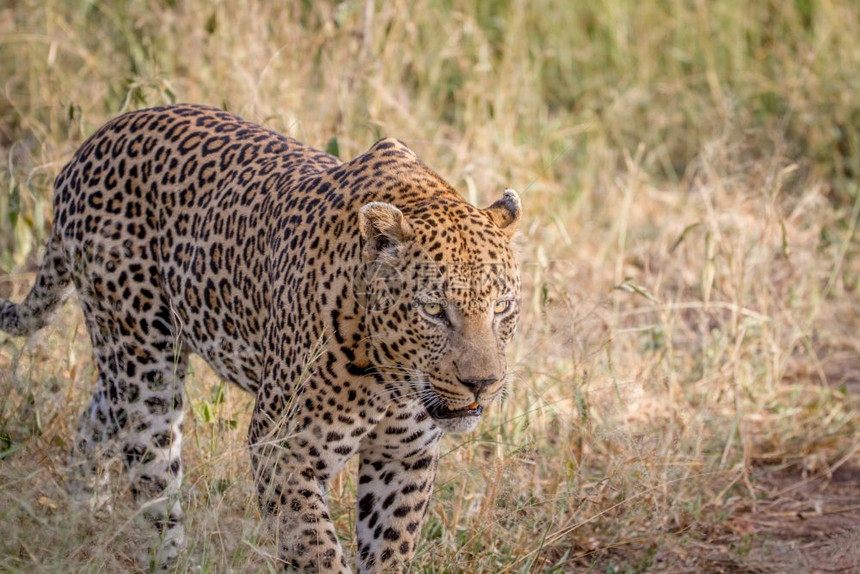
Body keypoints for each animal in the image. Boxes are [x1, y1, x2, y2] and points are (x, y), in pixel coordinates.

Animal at [0, 104, 520, 574]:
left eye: (502, 307)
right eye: (433, 310)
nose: (483, 384)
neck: (391, 377)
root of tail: (89, 145)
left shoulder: (404, 458)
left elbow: (389, 549)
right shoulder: (283, 446)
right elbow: (312, 548)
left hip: (125, 360)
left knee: (97, 415)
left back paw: (79, 511)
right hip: (144, 361)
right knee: (150, 467)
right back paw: (162, 553)